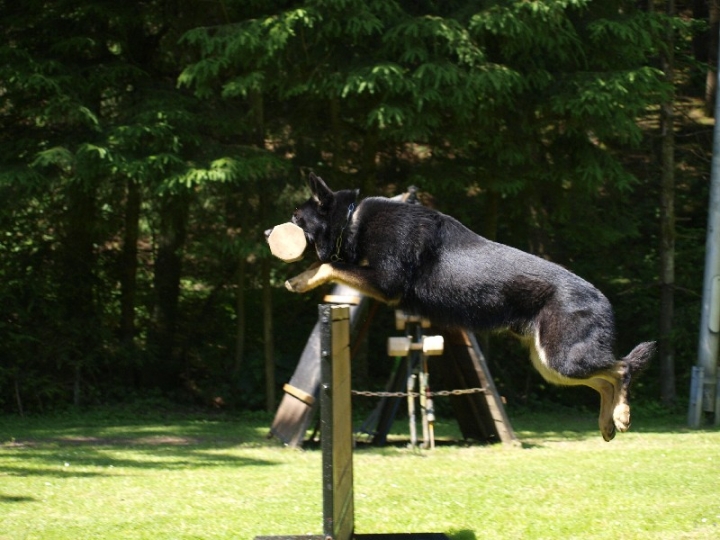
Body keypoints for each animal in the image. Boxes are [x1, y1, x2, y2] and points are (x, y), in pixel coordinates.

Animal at [272, 175, 656, 440]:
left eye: (296, 216)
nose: (265, 233)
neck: (353, 221)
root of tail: (604, 299)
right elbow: (329, 265)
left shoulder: (386, 284)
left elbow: (327, 265)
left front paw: (300, 280)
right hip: (550, 365)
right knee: (606, 379)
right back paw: (607, 423)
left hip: (562, 359)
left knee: (621, 369)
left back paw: (620, 415)